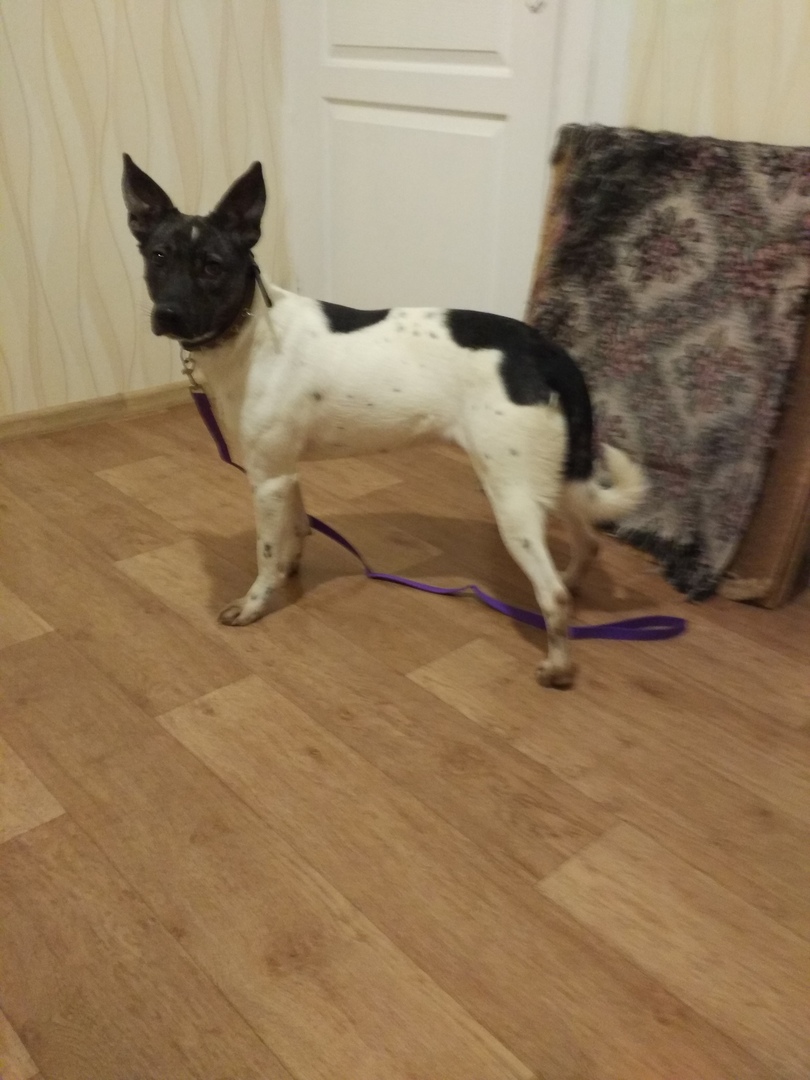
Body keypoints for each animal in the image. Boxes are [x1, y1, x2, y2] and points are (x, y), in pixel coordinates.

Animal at [122, 155, 646, 688]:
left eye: (212, 267)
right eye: (158, 257)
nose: (168, 315)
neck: (250, 330)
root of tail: (548, 351)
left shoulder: (266, 478)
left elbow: (266, 553)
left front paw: (255, 604)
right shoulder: (285, 471)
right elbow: (296, 528)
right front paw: (292, 567)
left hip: (511, 494)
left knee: (551, 592)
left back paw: (558, 665)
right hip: (549, 477)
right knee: (589, 542)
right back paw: (574, 585)